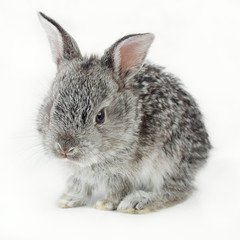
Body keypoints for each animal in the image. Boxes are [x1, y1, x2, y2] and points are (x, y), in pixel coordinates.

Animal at [36, 12, 211, 214]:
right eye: (51, 106)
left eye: (100, 116)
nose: (65, 148)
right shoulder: (78, 174)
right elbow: (79, 186)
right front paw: (68, 200)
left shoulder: (122, 172)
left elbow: (117, 189)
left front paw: (104, 205)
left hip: (170, 160)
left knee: (178, 190)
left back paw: (138, 202)